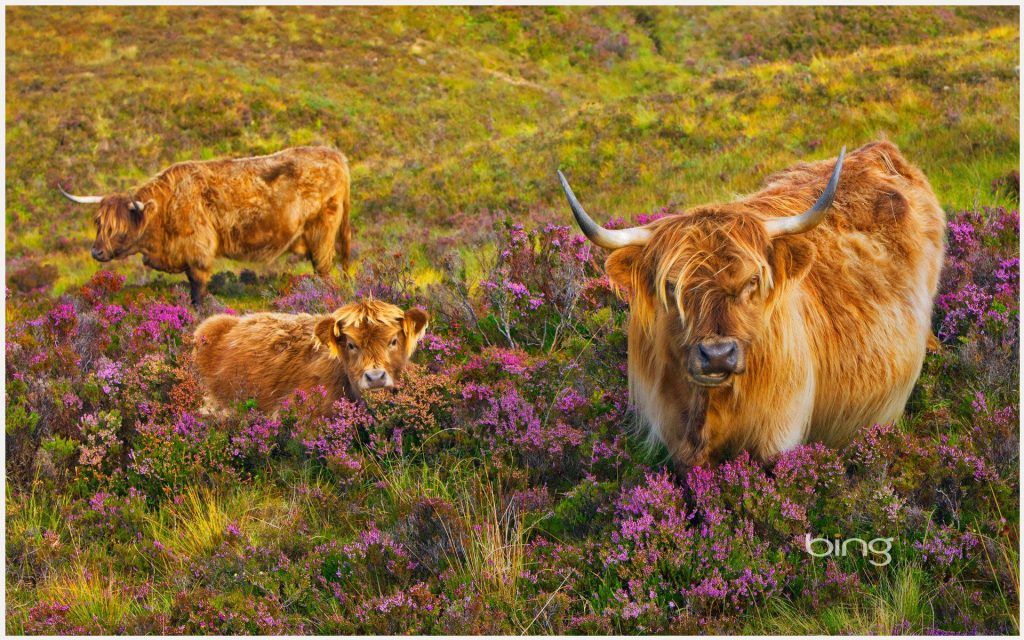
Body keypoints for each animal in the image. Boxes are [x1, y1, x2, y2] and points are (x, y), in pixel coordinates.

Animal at [59, 145, 352, 306]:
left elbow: (197, 288)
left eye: (118, 228)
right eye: (98, 223)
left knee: (324, 268)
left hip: (322, 230)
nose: (96, 252)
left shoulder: (197, 249)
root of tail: (335, 155)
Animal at [557, 141, 946, 472]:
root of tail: (879, 149)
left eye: (752, 282)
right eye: (671, 286)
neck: (710, 408)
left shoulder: (778, 437)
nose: (717, 355)